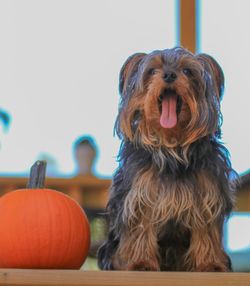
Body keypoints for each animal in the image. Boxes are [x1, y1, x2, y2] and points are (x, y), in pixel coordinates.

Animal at [98, 48, 236, 272]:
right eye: (152, 70)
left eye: (187, 71)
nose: (170, 75)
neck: (172, 145)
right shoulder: (140, 193)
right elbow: (141, 228)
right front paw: (141, 263)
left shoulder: (207, 193)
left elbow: (205, 230)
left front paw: (210, 264)